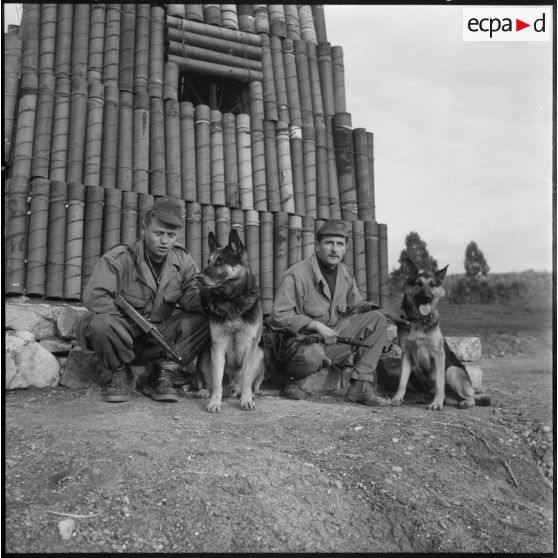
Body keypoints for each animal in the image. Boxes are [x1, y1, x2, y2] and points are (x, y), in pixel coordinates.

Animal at [194, 230, 266, 414]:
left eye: (221, 261)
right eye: (208, 261)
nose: (197, 277)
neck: (231, 300)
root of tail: (231, 389)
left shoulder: (250, 348)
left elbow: (247, 380)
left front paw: (246, 400)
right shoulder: (217, 348)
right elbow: (217, 382)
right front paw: (214, 402)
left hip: (260, 353)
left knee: (252, 384)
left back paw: (249, 394)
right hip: (205, 353)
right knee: (208, 382)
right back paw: (205, 391)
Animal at [390, 262, 490, 412]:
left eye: (433, 284)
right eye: (418, 283)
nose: (427, 297)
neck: (419, 321)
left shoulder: (438, 355)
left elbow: (439, 383)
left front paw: (437, 403)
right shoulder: (406, 355)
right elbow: (402, 382)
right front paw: (397, 398)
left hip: (451, 371)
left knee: (471, 397)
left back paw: (465, 402)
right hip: (417, 372)